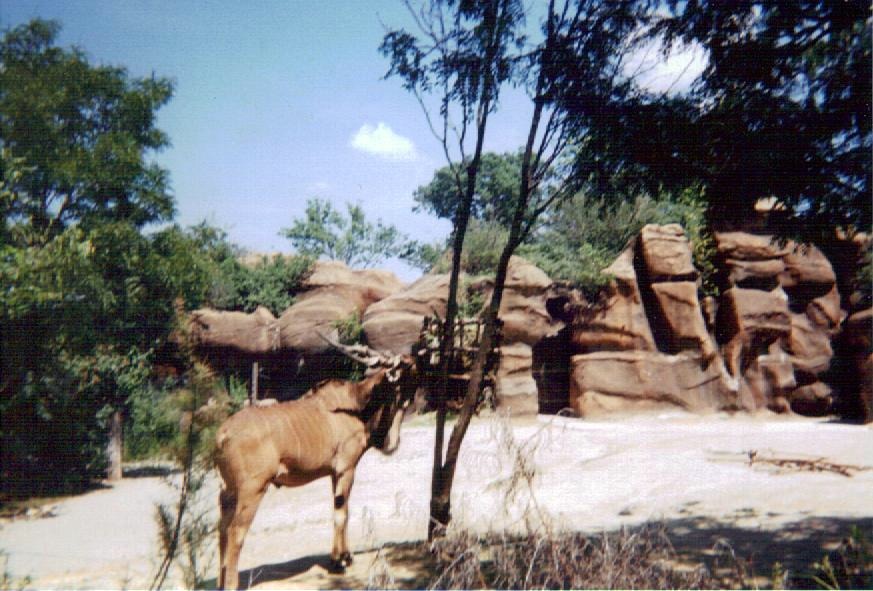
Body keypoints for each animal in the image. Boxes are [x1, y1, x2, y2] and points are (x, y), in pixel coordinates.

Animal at [215, 348, 418, 590]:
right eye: (408, 371)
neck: (357, 403)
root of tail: (224, 434)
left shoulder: (334, 474)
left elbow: (342, 510)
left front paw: (345, 556)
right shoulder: (346, 469)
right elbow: (342, 514)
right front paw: (338, 562)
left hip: (228, 492)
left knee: (222, 529)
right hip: (252, 490)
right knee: (235, 532)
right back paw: (231, 583)